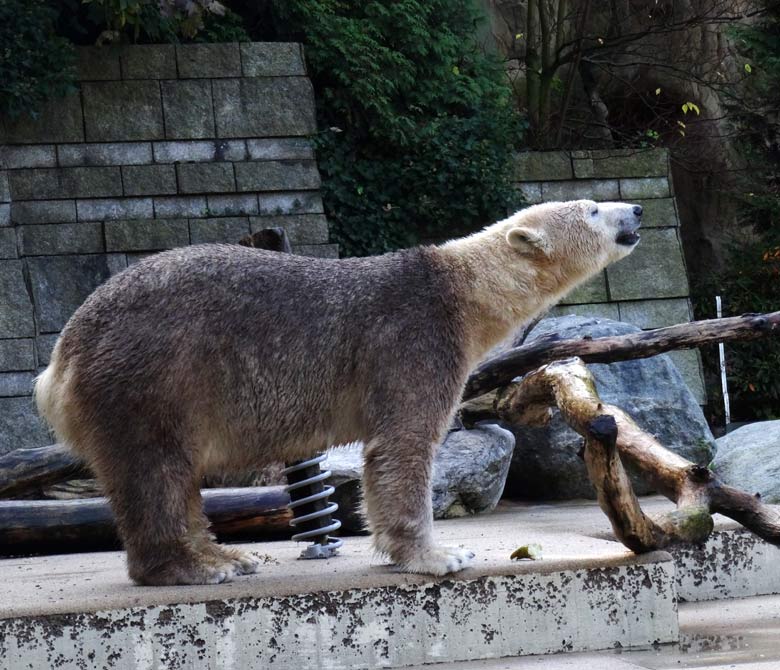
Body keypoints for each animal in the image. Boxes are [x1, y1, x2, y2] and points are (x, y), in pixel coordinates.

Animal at [35, 197, 640, 584]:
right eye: (590, 208)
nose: (635, 210)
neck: (460, 287)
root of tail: (60, 361)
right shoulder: (414, 338)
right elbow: (403, 443)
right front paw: (441, 555)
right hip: (151, 372)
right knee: (154, 465)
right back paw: (196, 567)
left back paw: (224, 555)